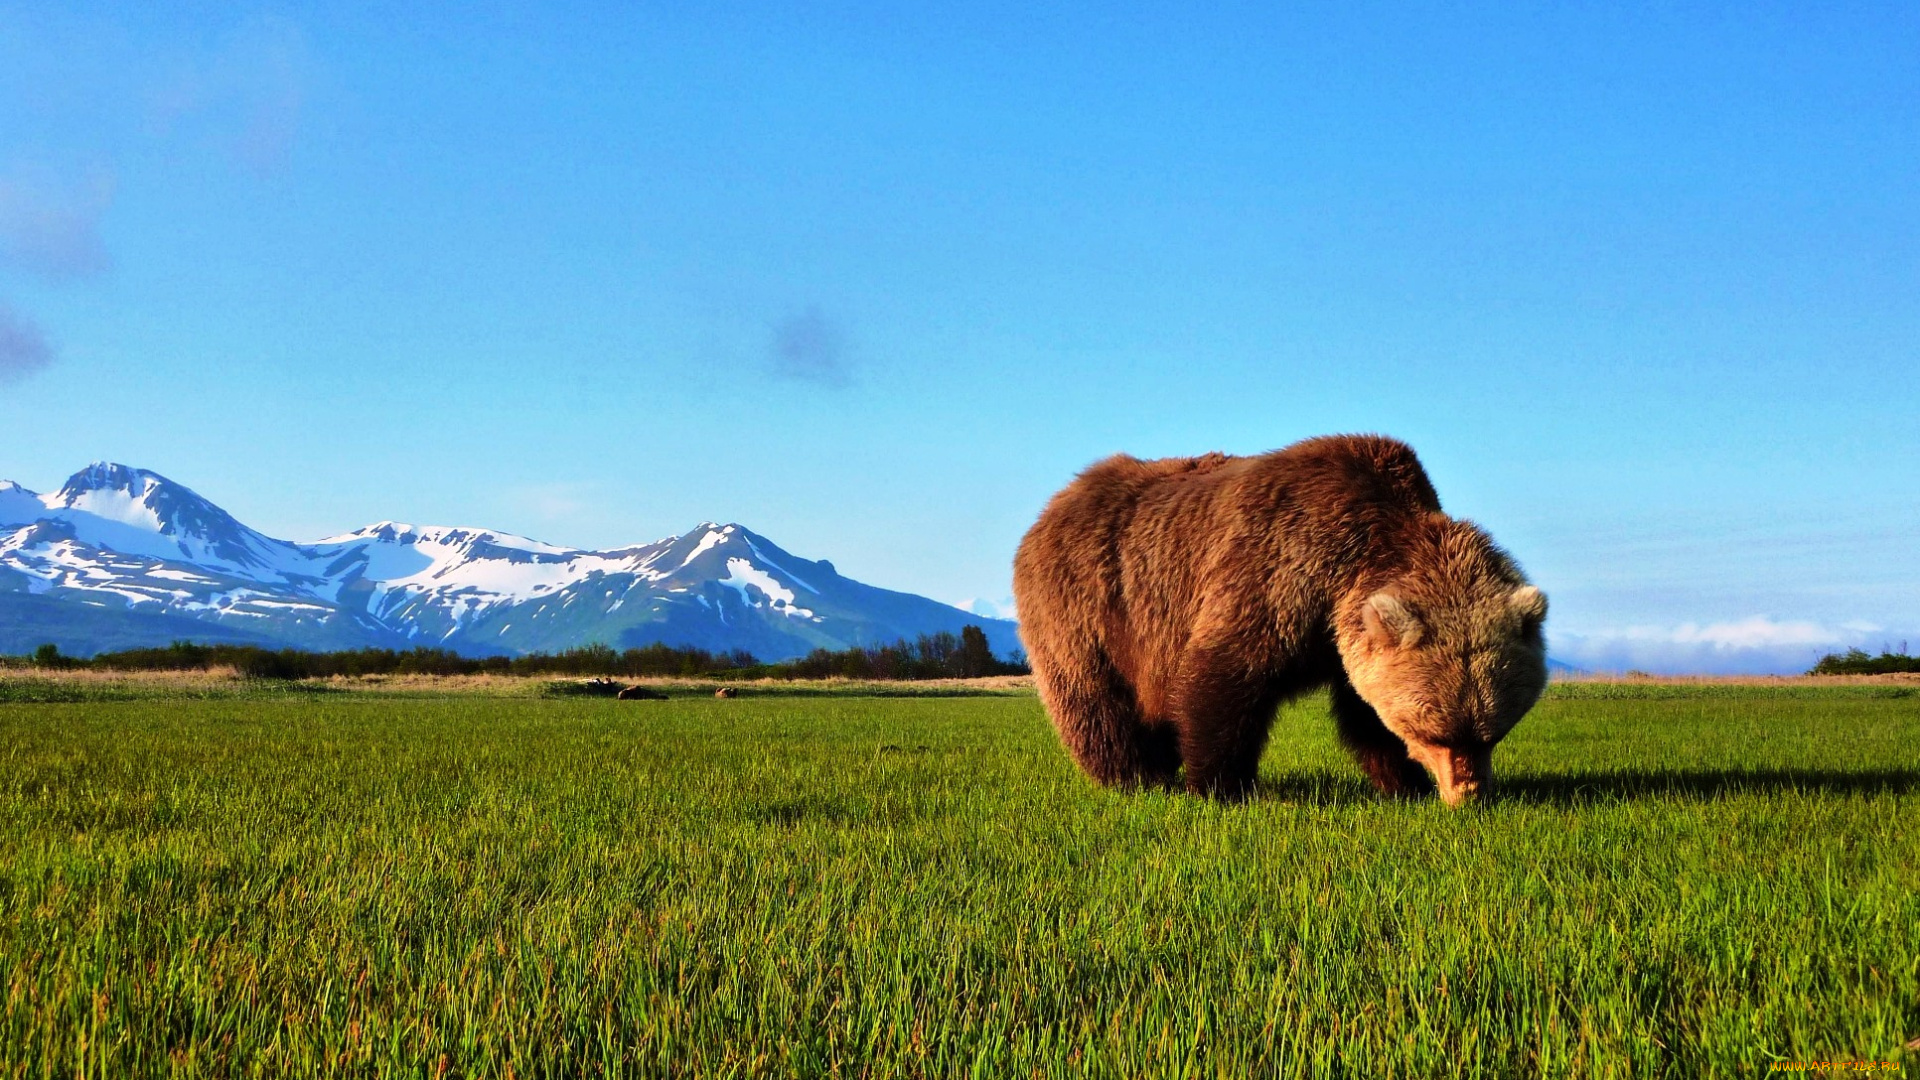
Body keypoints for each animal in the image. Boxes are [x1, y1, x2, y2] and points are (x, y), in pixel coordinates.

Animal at [1013, 432, 1551, 803]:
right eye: (1434, 731)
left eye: (1495, 731)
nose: (1469, 795)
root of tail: (1057, 501)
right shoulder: (1278, 570)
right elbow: (1224, 677)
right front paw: (1221, 786)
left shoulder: (1344, 635)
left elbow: (1364, 712)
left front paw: (1404, 782)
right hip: (1087, 605)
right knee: (1096, 701)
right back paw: (1136, 778)